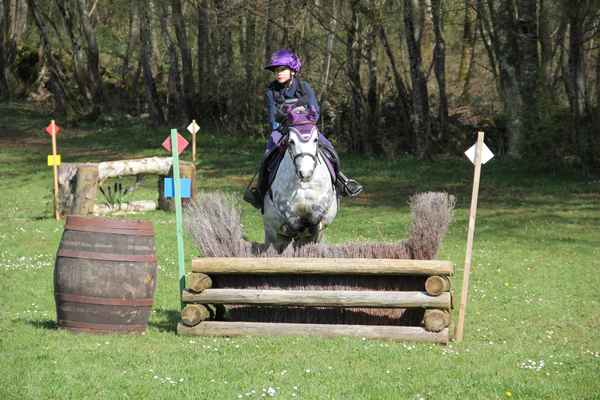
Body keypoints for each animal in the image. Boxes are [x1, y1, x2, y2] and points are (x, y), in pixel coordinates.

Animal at [262, 123, 338, 252]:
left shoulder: (322, 204)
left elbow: (316, 218)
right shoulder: (284, 207)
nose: (305, 173)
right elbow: (291, 219)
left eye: (315, 139)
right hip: (271, 230)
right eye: (291, 141)